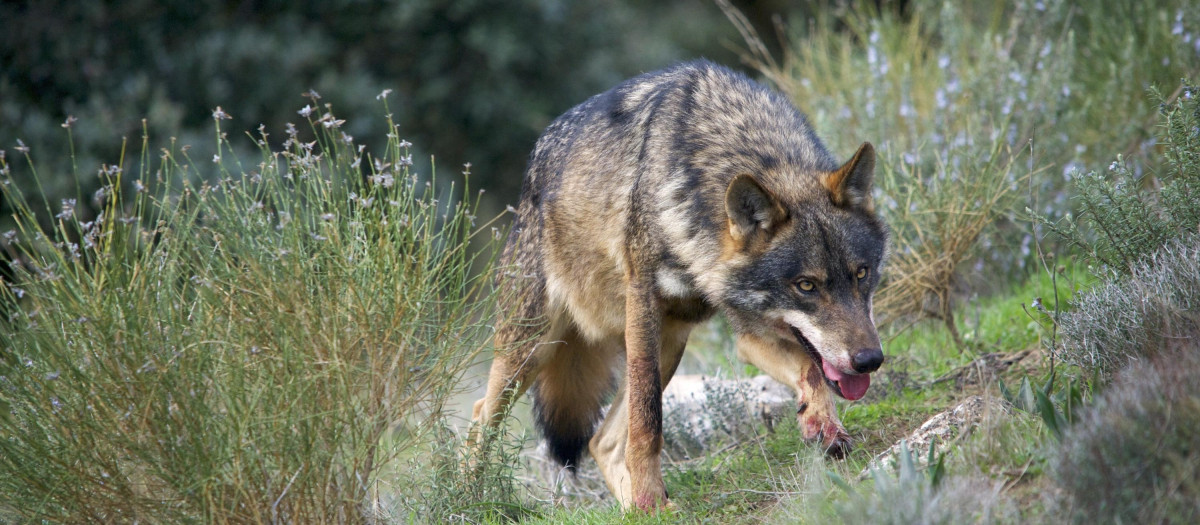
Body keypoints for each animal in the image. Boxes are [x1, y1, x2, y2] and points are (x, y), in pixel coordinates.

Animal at [470, 60, 888, 510]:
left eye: (861, 273)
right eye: (806, 286)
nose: (870, 360)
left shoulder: (749, 331)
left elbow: (811, 370)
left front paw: (822, 425)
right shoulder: (643, 305)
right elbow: (648, 421)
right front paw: (649, 494)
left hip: (669, 343)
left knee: (601, 442)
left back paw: (639, 511)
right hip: (533, 349)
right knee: (480, 417)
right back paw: (470, 497)